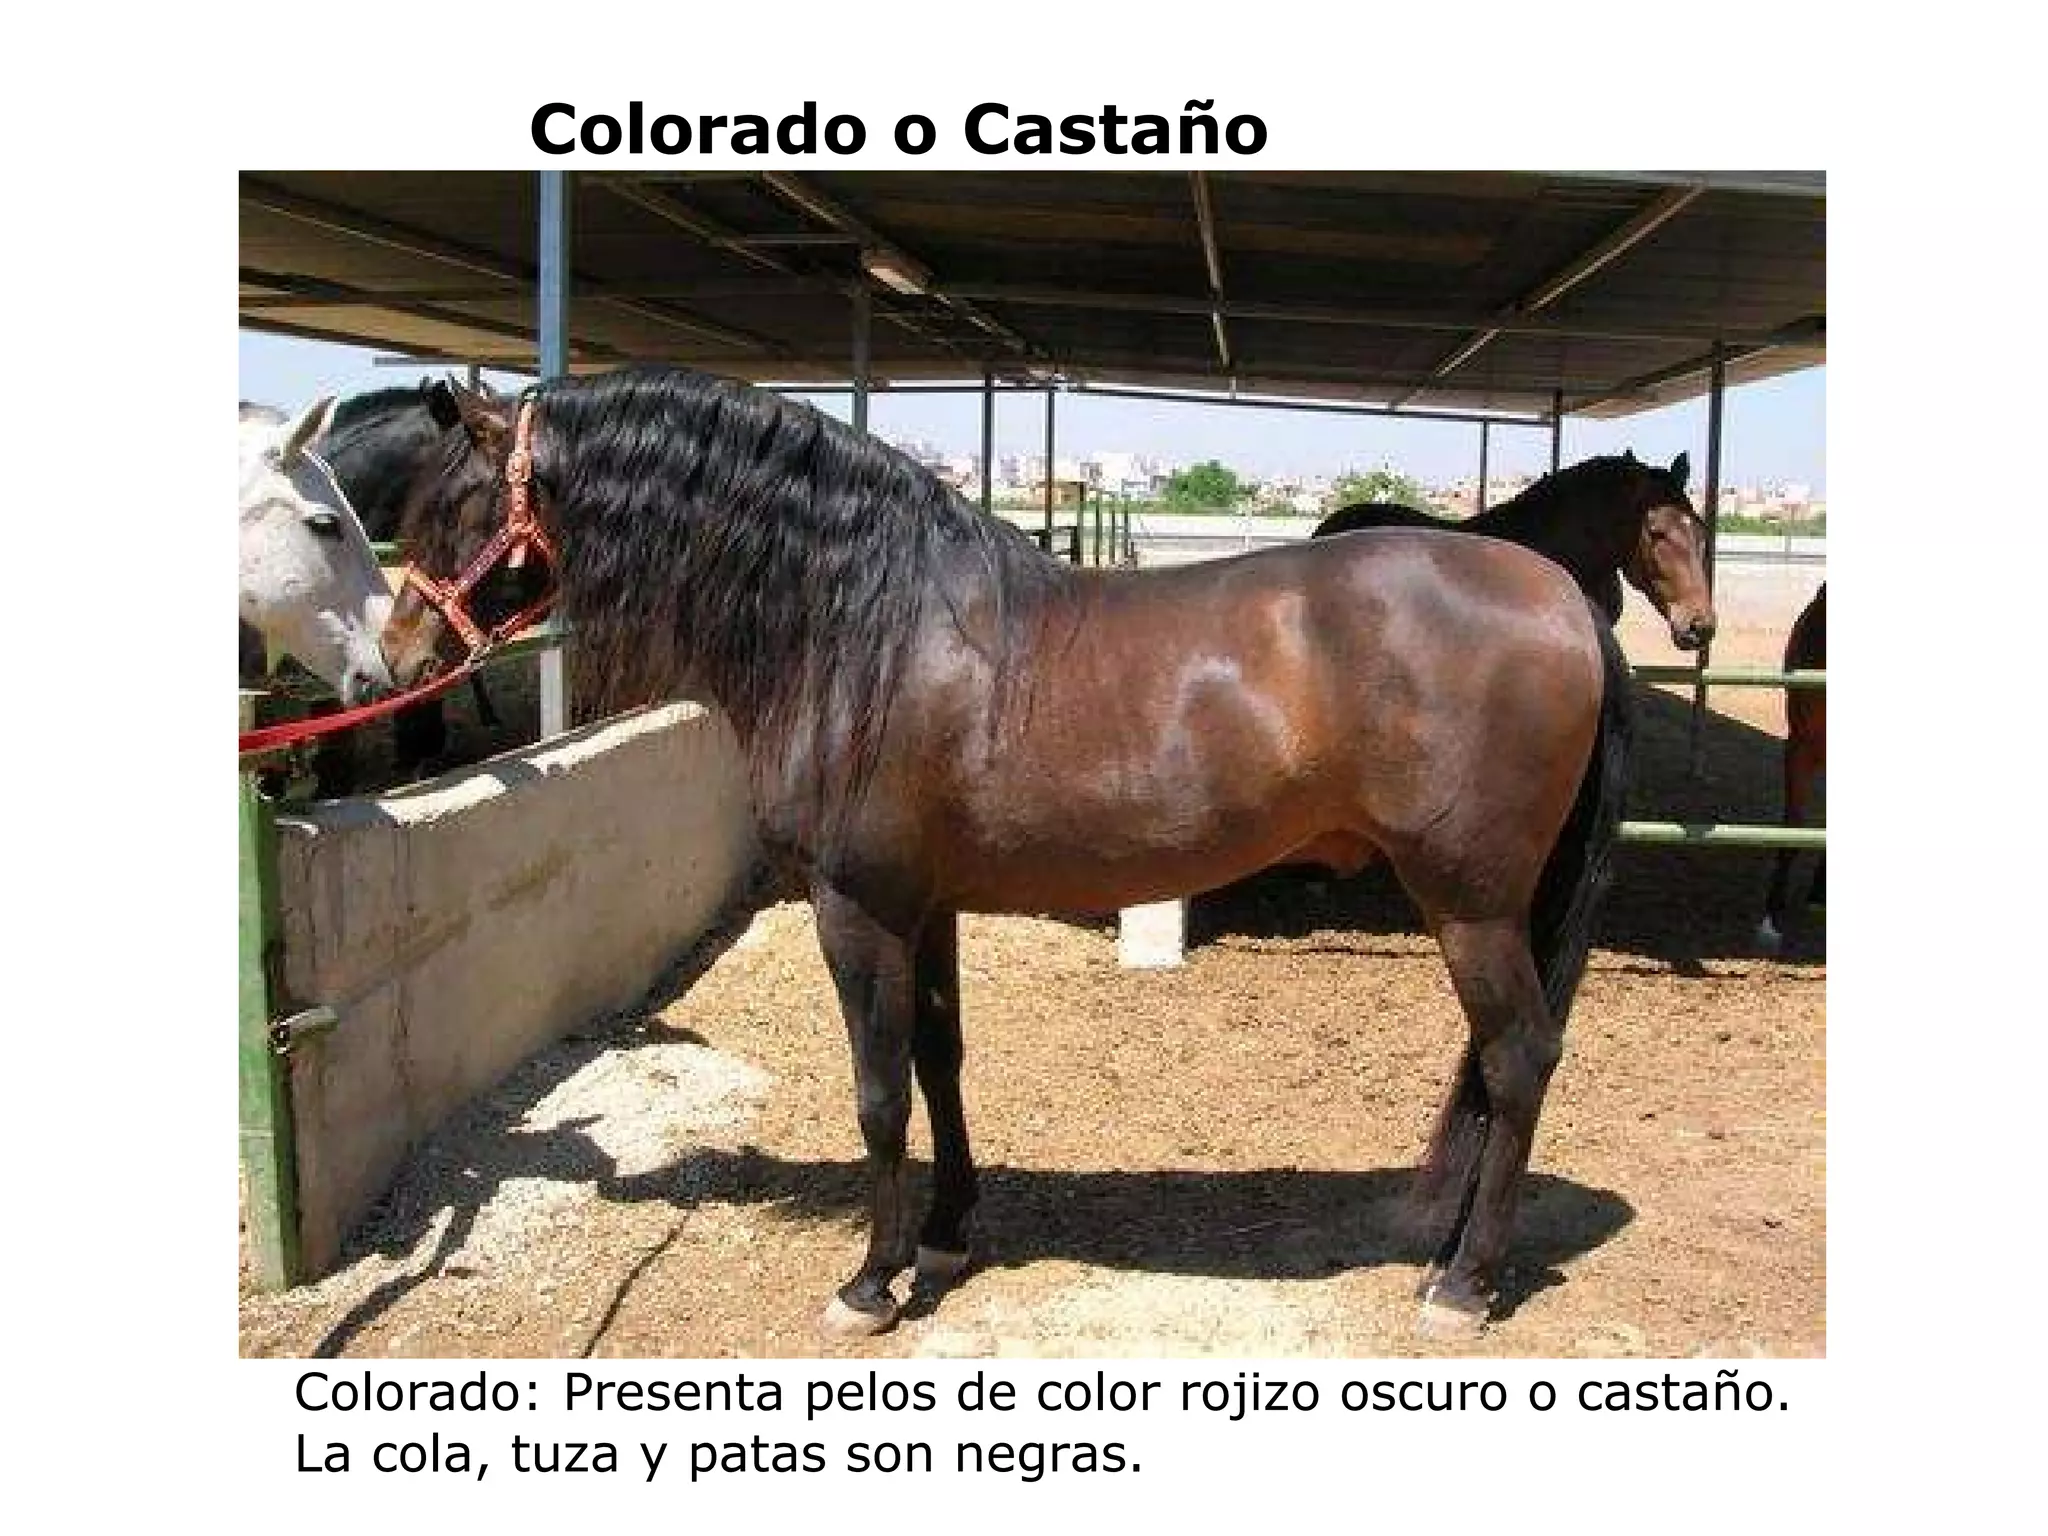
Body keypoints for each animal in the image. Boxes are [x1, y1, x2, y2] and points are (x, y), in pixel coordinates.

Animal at [383, 367, 1634, 1342]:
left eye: (450, 503)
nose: (393, 657)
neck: (867, 629)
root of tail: (1564, 601)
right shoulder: (925, 904)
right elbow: (939, 1059)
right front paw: (943, 1237)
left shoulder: (856, 908)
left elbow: (877, 1090)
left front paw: (869, 1283)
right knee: (1491, 1066)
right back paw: (1445, 1256)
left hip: (1468, 902)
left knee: (1518, 1058)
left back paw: (1463, 1287)